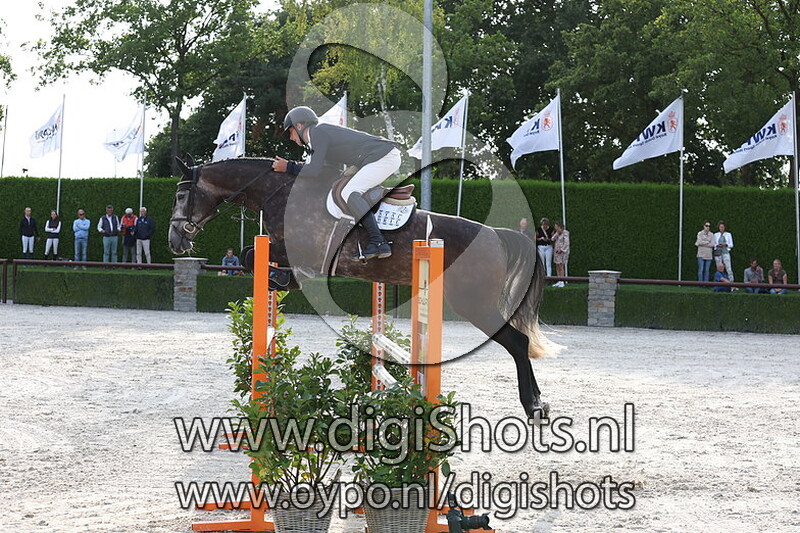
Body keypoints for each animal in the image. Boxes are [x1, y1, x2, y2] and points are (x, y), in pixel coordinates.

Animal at [168, 157, 552, 419]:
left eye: (183, 194)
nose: (174, 240)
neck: (281, 192)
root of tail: (496, 235)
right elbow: (252, 256)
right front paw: (279, 280)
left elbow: (252, 255)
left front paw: (280, 279)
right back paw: (540, 402)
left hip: (473, 303)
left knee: (517, 342)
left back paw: (533, 405)